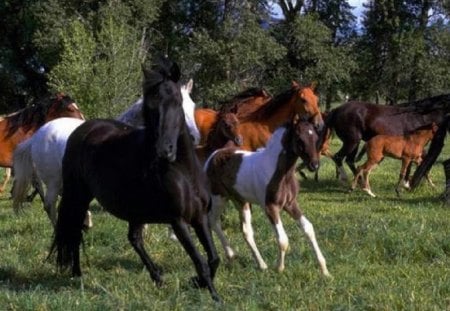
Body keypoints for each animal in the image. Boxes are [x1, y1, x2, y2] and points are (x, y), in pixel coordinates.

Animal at [49, 58, 221, 302]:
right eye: (149, 107)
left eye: (178, 102)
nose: (164, 151)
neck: (183, 171)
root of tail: (82, 129)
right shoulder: (178, 221)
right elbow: (200, 261)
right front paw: (213, 294)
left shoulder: (199, 216)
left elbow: (213, 258)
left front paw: (197, 283)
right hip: (78, 196)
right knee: (75, 229)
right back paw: (77, 274)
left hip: (134, 210)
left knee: (134, 239)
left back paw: (157, 277)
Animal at [205, 116, 330, 276]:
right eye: (299, 139)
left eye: (315, 137)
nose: (314, 165)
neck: (280, 172)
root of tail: (213, 155)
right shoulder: (270, 207)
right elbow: (283, 240)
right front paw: (279, 268)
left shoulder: (290, 203)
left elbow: (308, 228)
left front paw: (324, 270)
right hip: (218, 198)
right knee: (213, 221)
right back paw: (230, 254)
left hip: (241, 201)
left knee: (246, 231)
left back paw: (261, 265)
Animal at [318, 96, 448, 182]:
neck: (420, 118)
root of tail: (336, 110)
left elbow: (420, 162)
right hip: (352, 141)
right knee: (338, 157)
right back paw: (348, 179)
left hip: (355, 142)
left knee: (349, 160)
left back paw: (359, 181)